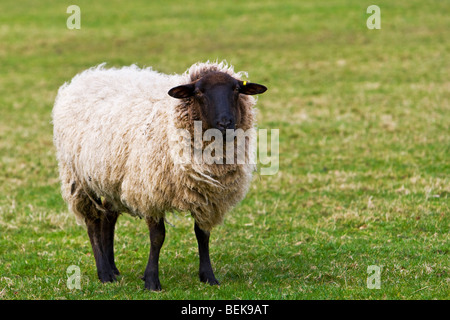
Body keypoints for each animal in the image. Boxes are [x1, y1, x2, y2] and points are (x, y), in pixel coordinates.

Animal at [51, 60, 268, 290]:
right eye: (199, 92)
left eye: (236, 89)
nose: (225, 123)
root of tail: (87, 76)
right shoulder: (151, 191)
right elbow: (157, 237)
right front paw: (152, 280)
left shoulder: (206, 196)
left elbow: (202, 234)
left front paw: (208, 276)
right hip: (79, 177)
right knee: (92, 221)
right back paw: (104, 273)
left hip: (112, 177)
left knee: (108, 218)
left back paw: (113, 268)